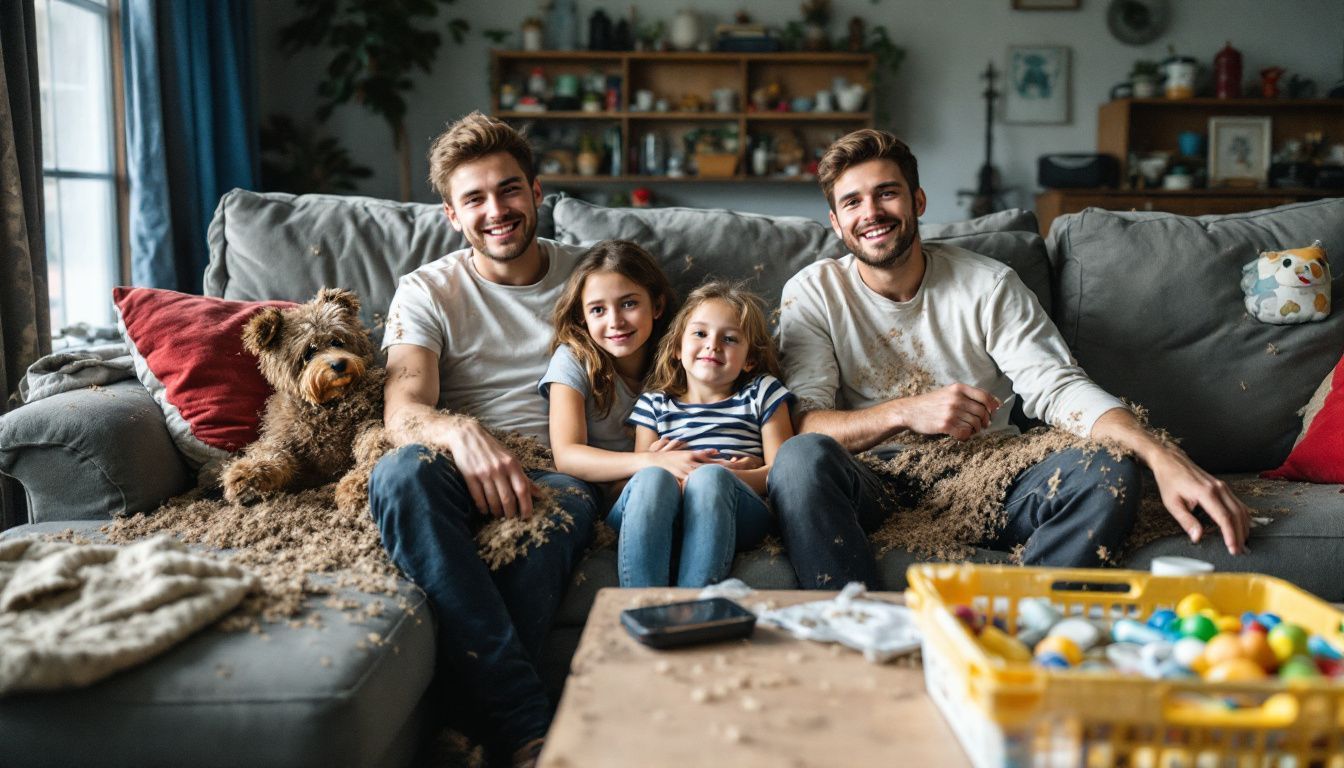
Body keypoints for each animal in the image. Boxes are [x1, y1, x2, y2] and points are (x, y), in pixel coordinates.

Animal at [216, 285, 381, 508]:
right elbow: (272, 454)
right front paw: (247, 476)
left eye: (337, 341)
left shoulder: (367, 422)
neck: (327, 405)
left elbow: (372, 447)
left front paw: (357, 485)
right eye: (308, 353)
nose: (339, 364)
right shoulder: (286, 439)